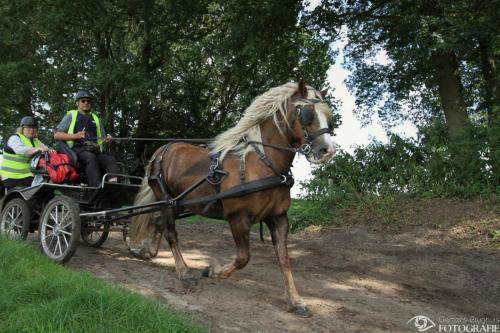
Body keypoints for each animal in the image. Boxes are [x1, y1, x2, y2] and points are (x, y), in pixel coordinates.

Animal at [125, 79, 336, 316]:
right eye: (307, 114)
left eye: (328, 117)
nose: (327, 151)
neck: (262, 163)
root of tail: (161, 150)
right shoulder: (238, 218)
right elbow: (243, 258)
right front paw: (213, 271)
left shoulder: (279, 217)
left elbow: (283, 258)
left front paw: (295, 300)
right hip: (167, 199)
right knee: (171, 233)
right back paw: (184, 272)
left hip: (178, 202)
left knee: (159, 223)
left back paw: (148, 252)